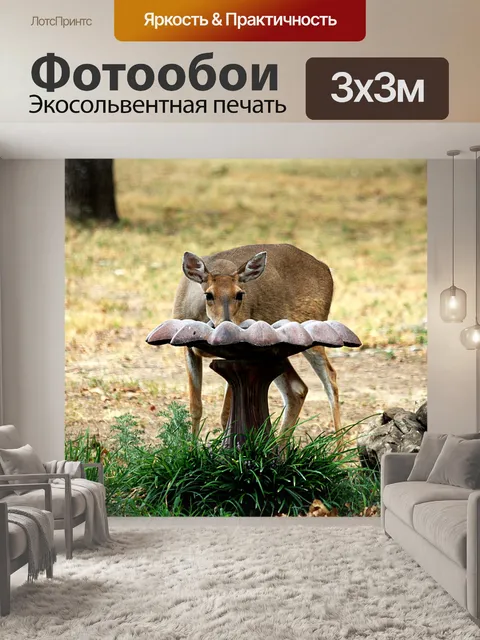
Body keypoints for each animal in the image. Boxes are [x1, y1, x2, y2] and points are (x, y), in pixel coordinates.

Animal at [172, 243, 340, 442]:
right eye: (209, 295)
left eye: (240, 294)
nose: (227, 324)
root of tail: (326, 268)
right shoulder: (188, 348)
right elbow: (195, 408)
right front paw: (192, 448)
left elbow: (226, 414)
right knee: (297, 388)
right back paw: (280, 448)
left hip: (312, 329)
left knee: (330, 377)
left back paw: (341, 448)